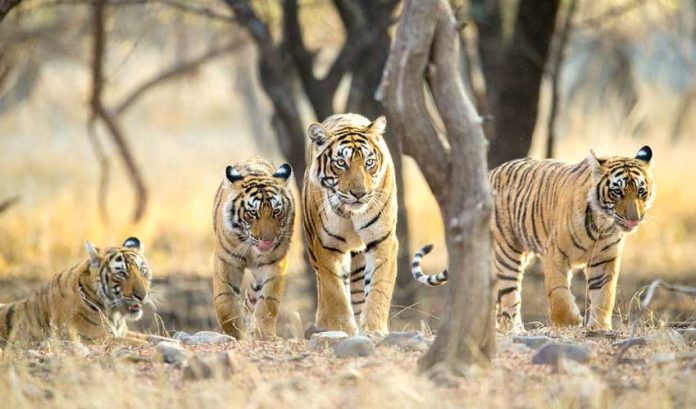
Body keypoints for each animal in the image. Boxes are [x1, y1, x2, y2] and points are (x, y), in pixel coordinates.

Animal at [0, 237, 153, 348]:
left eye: (142, 271)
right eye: (121, 274)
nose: (142, 296)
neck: (115, 315)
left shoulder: (124, 332)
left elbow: (152, 337)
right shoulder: (95, 338)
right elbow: (143, 343)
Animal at [212, 157, 295, 340]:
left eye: (276, 211)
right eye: (252, 213)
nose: (268, 240)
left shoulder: (274, 264)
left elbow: (268, 302)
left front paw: (263, 335)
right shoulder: (226, 260)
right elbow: (225, 302)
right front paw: (236, 333)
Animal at [303, 113, 398, 335]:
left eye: (369, 162)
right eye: (341, 163)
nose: (359, 193)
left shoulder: (383, 240)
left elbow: (379, 288)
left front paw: (374, 329)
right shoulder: (327, 246)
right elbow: (335, 292)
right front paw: (342, 329)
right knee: (323, 287)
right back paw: (322, 324)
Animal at [412, 146, 655, 333]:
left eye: (641, 192)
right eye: (617, 192)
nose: (634, 218)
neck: (602, 224)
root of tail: (490, 173)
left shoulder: (604, 260)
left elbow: (604, 295)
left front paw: (600, 327)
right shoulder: (555, 254)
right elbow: (558, 293)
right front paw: (570, 322)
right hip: (507, 253)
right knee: (509, 297)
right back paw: (515, 331)